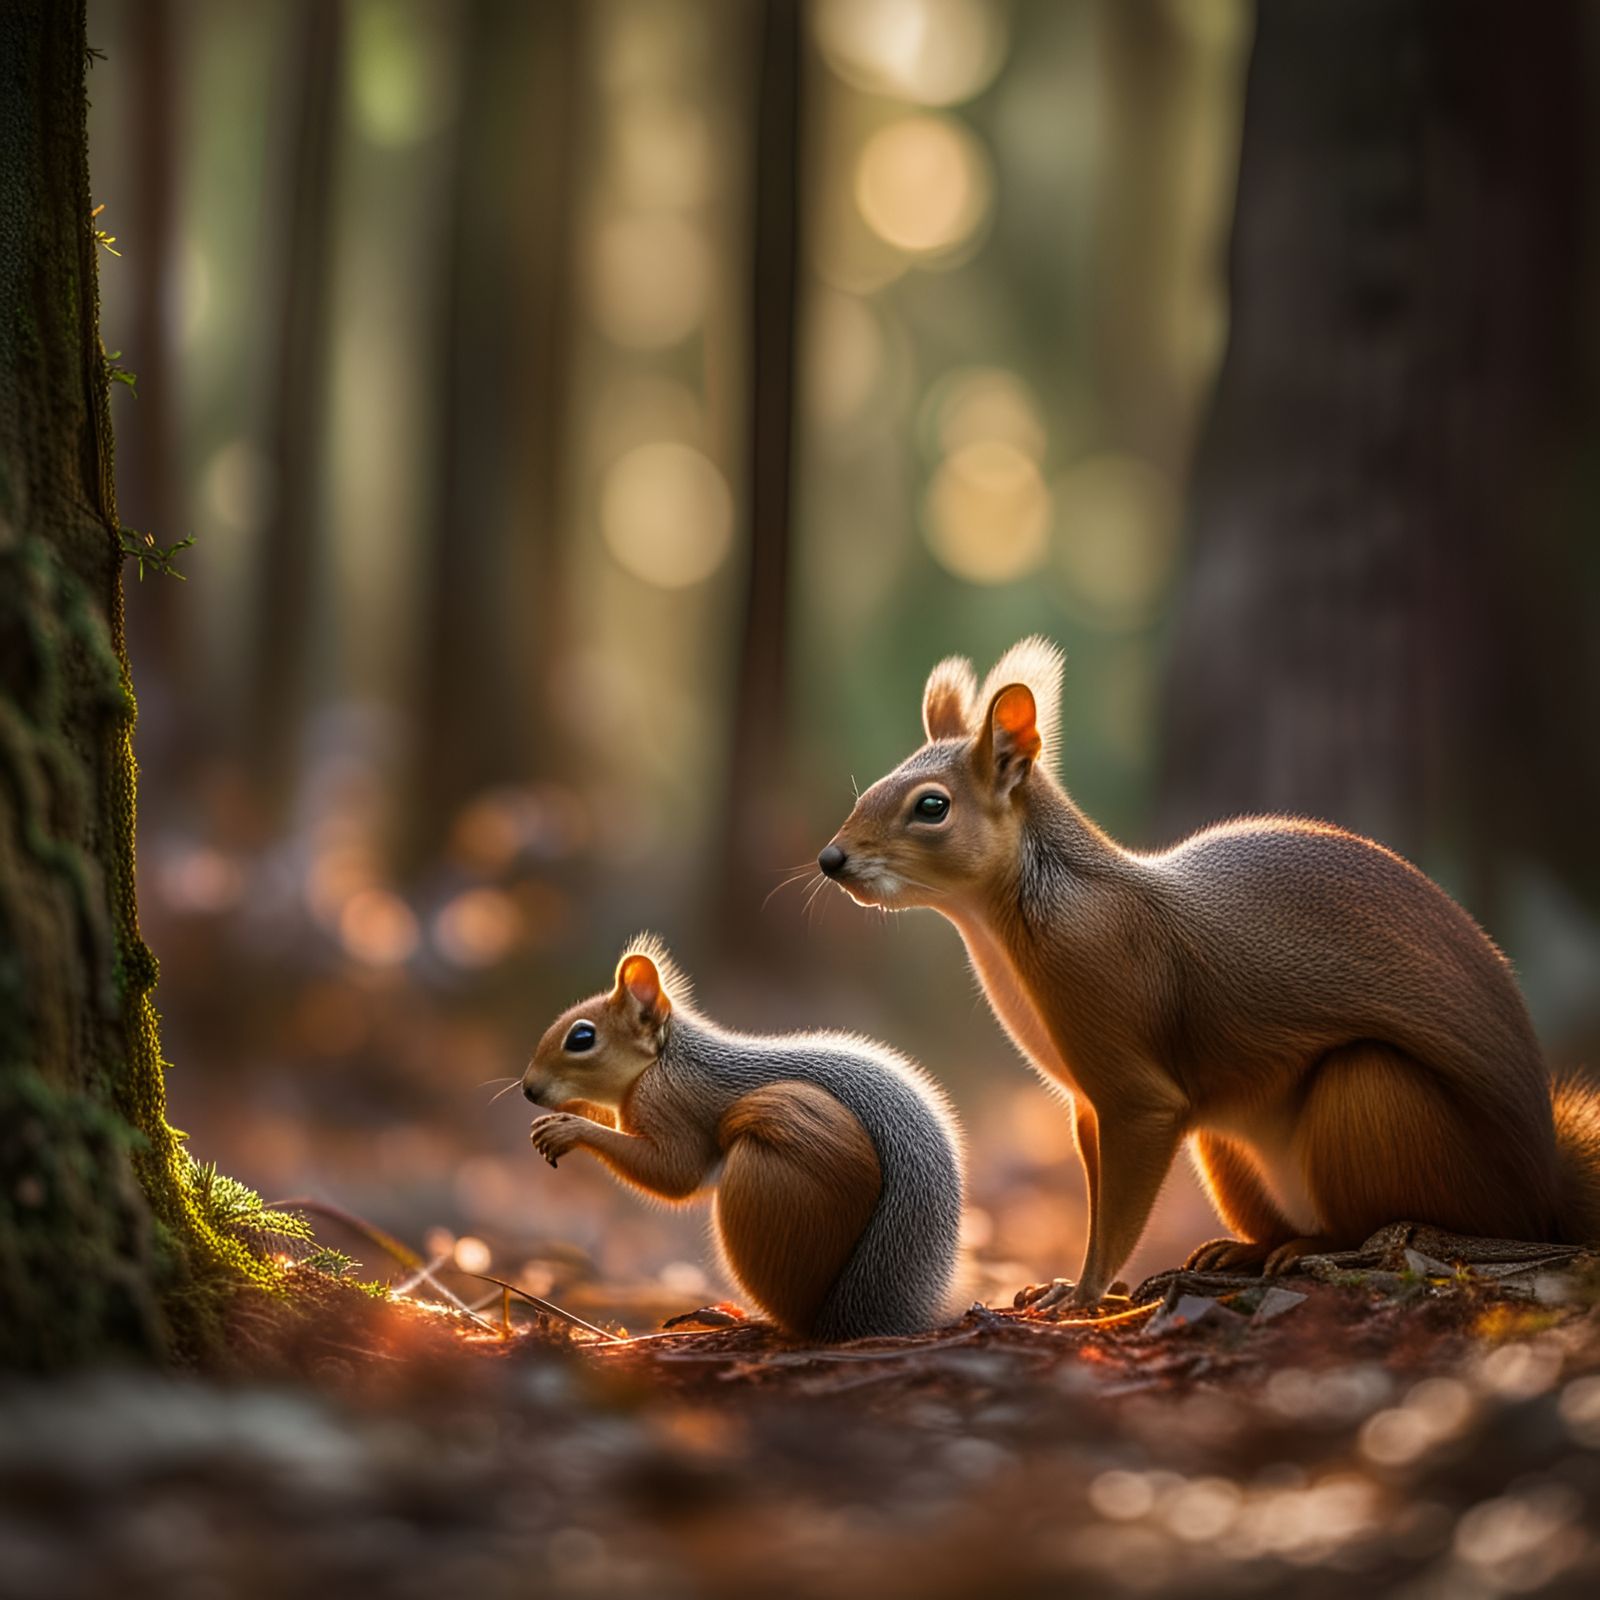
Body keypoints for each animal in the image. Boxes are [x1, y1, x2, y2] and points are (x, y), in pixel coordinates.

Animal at [520, 936, 965, 1341]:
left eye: (581, 1039)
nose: (528, 1090)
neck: (663, 1060)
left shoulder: (666, 1103)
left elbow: (675, 1174)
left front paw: (568, 1129)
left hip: (765, 1188)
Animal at [817, 635, 1600, 1310]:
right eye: (871, 788)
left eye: (932, 806)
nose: (832, 860)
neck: (1021, 911)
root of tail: (1540, 1197)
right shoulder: (1087, 1104)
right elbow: (1098, 1194)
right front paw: (1070, 1286)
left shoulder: (1133, 1087)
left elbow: (1118, 1211)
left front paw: (1084, 1296)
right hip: (1228, 1143)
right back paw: (1247, 1250)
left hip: (1374, 1100)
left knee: (1376, 1217)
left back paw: (1315, 1249)